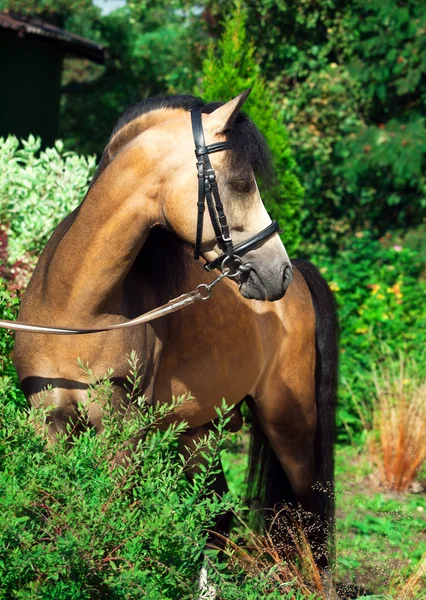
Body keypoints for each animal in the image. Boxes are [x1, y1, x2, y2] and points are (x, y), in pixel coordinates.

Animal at [10, 90, 338, 572]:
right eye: (242, 183)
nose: (278, 271)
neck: (74, 307)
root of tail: (301, 284)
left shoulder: (121, 431)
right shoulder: (47, 422)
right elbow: (55, 515)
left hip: (288, 423)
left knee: (310, 514)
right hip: (198, 431)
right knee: (220, 515)